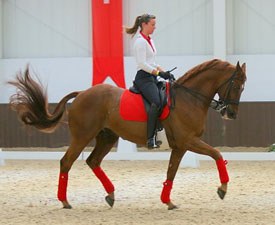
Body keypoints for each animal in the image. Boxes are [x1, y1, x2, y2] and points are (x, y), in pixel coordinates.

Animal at [7, 59, 247, 210]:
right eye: (236, 85)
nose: (232, 114)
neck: (189, 98)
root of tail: (82, 93)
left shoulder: (181, 145)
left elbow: (171, 172)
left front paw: (167, 201)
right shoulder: (188, 141)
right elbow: (216, 154)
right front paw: (223, 188)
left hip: (107, 137)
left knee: (93, 161)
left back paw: (110, 194)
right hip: (82, 137)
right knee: (66, 162)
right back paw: (65, 202)